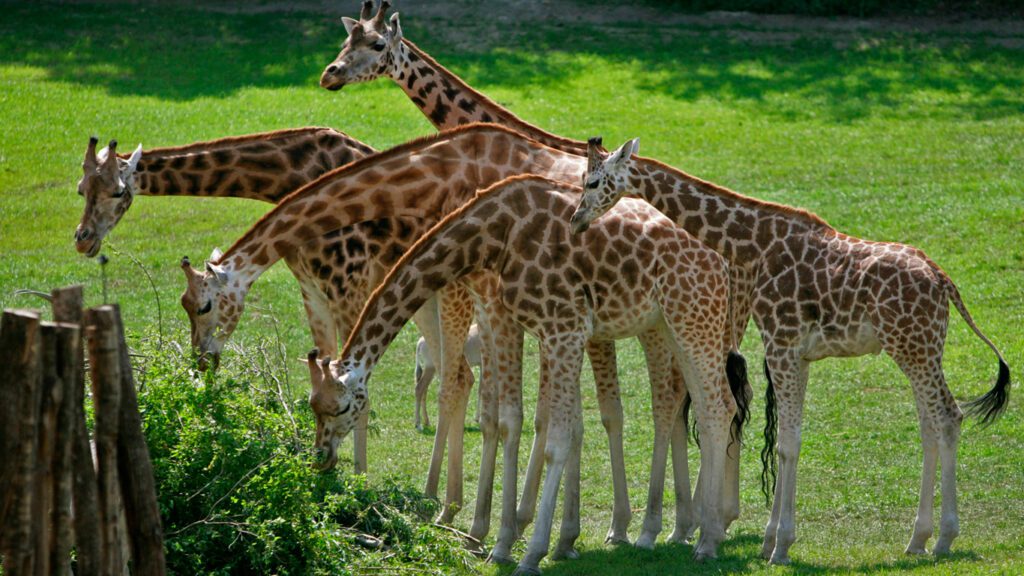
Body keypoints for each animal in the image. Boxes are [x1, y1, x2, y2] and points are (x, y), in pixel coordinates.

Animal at [176, 123, 720, 557]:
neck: (432, 178)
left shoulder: (473, 293)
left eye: (203, 306)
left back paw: (671, 529)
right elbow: (497, 404)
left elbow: (485, 403)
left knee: (687, 400)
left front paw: (469, 521)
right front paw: (479, 519)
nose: (201, 364)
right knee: (660, 403)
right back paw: (653, 528)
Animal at [306, 175, 748, 573]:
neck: (494, 232)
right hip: (671, 325)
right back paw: (694, 531)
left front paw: (527, 549)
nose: (320, 458)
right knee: (700, 405)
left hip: (692, 318)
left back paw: (703, 539)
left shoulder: (562, 327)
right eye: (312, 406)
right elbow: (518, 421)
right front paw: (513, 540)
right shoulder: (536, 326)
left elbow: (554, 436)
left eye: (340, 407)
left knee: (714, 407)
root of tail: (722, 262)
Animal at [570, 137, 1012, 564]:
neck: (755, 246)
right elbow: (786, 438)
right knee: (932, 423)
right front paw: (770, 542)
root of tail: (943, 280)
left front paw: (780, 545)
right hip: (920, 348)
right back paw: (919, 539)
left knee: (948, 416)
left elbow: (787, 443)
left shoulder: (780, 344)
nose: (576, 221)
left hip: (913, 347)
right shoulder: (795, 352)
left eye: (592, 182)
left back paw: (943, 539)